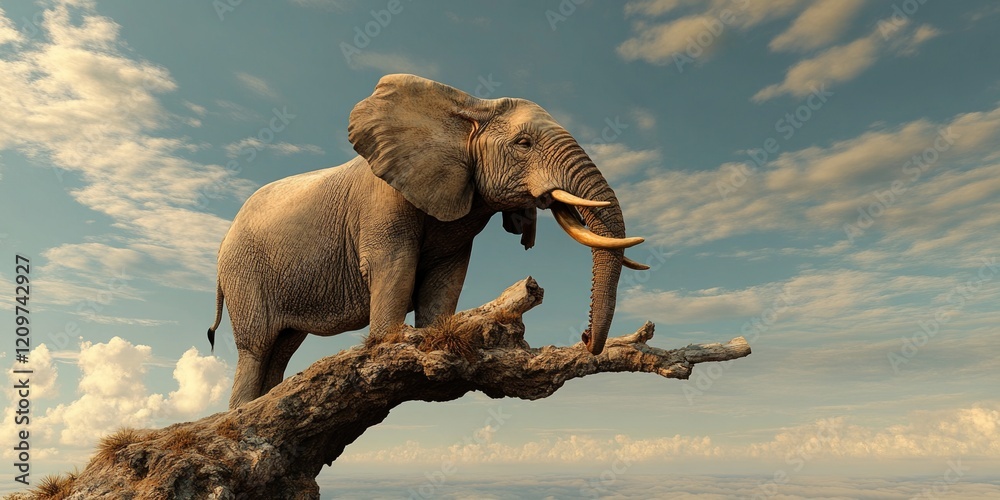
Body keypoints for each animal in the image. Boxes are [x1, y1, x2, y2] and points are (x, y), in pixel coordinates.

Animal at [207, 74, 648, 409]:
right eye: (523, 144)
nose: (586, 338)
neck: (466, 110)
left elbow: (447, 277)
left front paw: (433, 344)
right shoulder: (385, 199)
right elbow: (395, 266)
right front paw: (392, 345)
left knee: (282, 347)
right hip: (244, 273)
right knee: (257, 347)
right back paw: (242, 412)